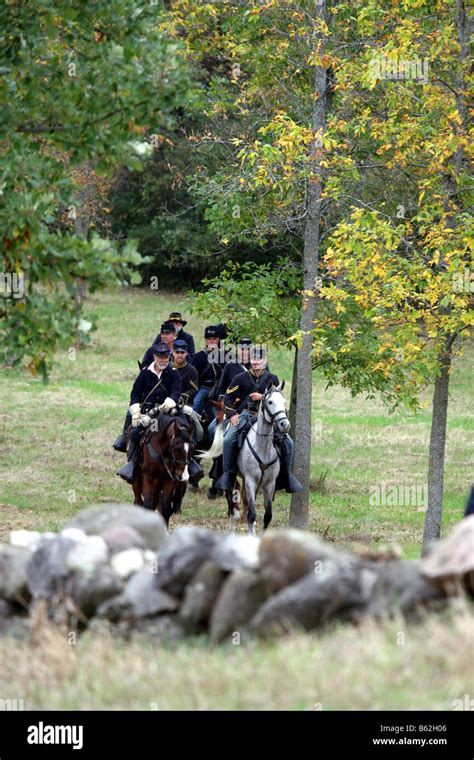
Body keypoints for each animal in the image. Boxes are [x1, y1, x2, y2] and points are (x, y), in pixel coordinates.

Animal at [197, 380, 286, 536]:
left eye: (284, 401)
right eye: (270, 402)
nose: (284, 424)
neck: (263, 447)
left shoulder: (270, 484)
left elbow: (267, 515)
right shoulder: (250, 481)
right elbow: (252, 514)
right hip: (230, 475)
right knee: (230, 501)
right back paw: (232, 526)